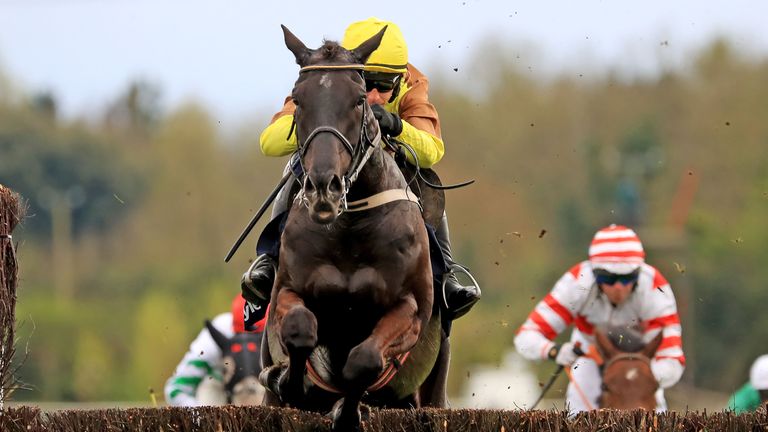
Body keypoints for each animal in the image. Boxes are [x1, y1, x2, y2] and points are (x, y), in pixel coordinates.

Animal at [260, 26, 450, 432]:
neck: (349, 229)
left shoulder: (410, 310)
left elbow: (363, 361)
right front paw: (291, 382)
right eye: (297, 99)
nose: (324, 186)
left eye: (359, 98)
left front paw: (347, 411)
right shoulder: (288, 290)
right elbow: (300, 328)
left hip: (433, 385)